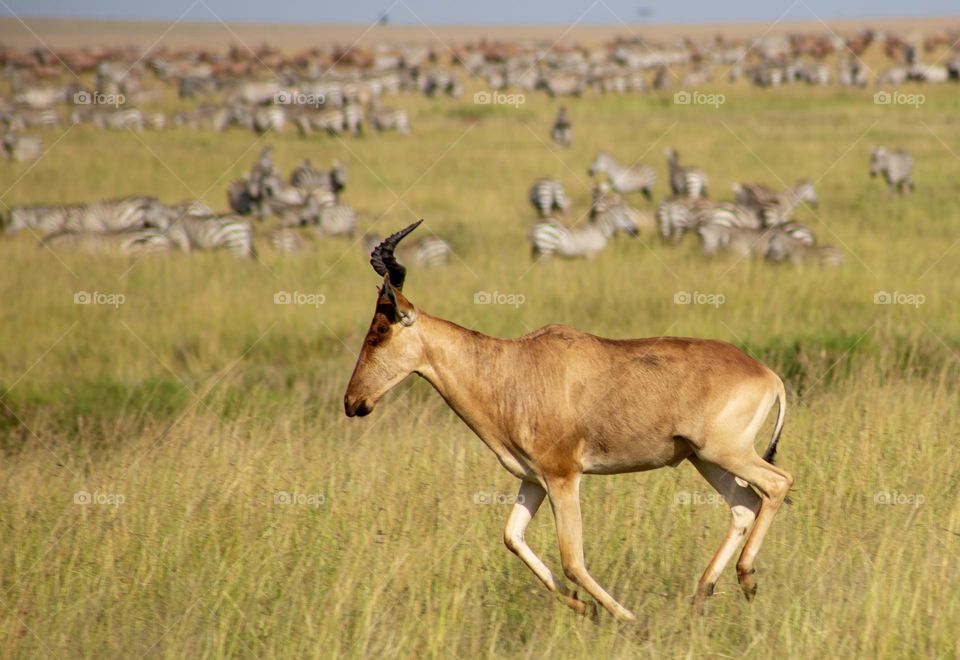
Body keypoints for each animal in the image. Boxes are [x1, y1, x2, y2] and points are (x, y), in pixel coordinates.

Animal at [344, 221, 795, 621]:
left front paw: (627, 619)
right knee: (744, 507)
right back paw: (704, 594)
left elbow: (572, 560)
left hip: (726, 453)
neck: (511, 367)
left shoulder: (564, 477)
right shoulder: (533, 480)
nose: (352, 402)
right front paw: (583, 607)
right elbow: (512, 538)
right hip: (705, 459)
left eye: (380, 329)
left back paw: (747, 578)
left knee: (777, 483)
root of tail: (767, 374)